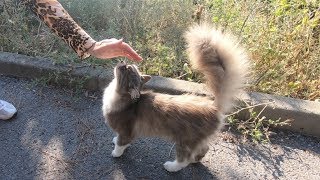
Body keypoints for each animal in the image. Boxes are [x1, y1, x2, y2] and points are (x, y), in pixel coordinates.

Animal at [102, 23, 250, 172]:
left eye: (127, 69)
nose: (122, 62)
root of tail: (213, 106)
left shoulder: (126, 131)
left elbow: (121, 143)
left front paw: (116, 152)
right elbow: (120, 140)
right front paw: (116, 141)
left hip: (185, 141)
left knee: (184, 159)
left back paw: (171, 167)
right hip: (197, 141)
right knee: (203, 149)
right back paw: (195, 161)